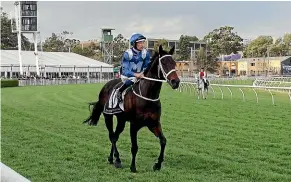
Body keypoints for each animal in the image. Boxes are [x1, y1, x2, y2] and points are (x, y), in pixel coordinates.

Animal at [83, 44, 181, 173]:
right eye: (164, 63)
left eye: (174, 63)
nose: (176, 82)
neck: (147, 96)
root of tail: (105, 86)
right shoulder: (134, 125)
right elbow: (134, 147)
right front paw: (133, 167)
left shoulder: (153, 123)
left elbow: (163, 141)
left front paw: (158, 164)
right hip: (108, 116)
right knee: (112, 136)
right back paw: (117, 160)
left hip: (121, 120)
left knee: (115, 136)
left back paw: (112, 158)